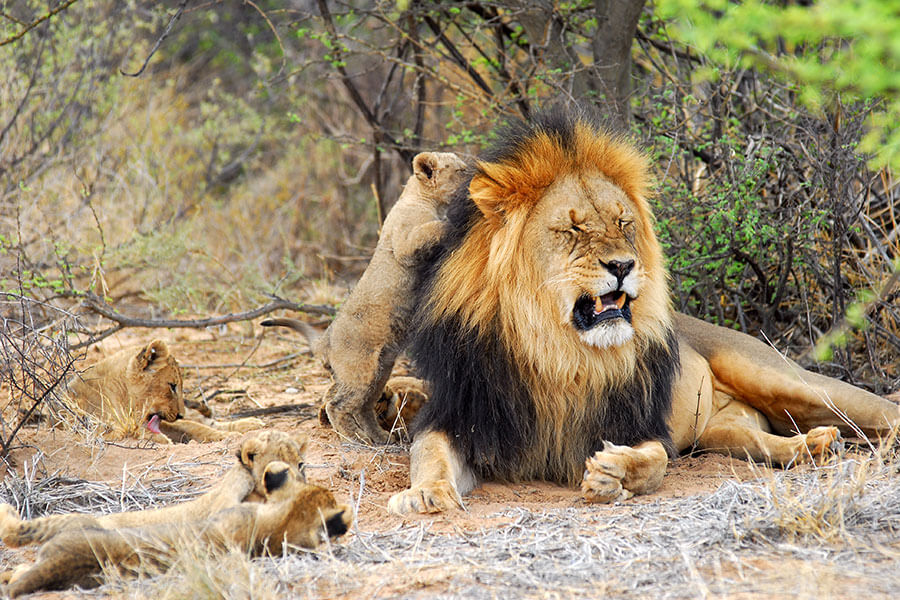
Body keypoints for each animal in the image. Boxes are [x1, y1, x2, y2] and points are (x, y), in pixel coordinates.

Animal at [64, 340, 264, 442]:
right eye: (172, 386)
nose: (180, 414)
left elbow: (197, 428)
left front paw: (230, 436)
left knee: (205, 421)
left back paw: (252, 424)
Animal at [264, 152, 468, 442]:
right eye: (461, 171)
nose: (473, 177)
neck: (424, 199)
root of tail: (325, 340)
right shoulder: (405, 240)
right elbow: (432, 229)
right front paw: (454, 221)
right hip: (360, 368)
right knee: (337, 404)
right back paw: (357, 439)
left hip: (380, 369)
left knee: (363, 406)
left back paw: (379, 438)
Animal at [388, 106, 900, 510]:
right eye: (572, 229)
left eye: (622, 222)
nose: (622, 264)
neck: (558, 354)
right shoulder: (458, 416)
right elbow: (428, 453)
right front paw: (426, 494)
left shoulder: (640, 424)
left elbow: (654, 459)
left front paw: (613, 473)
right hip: (724, 431)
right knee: (761, 440)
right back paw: (815, 446)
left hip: (788, 381)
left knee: (876, 411)